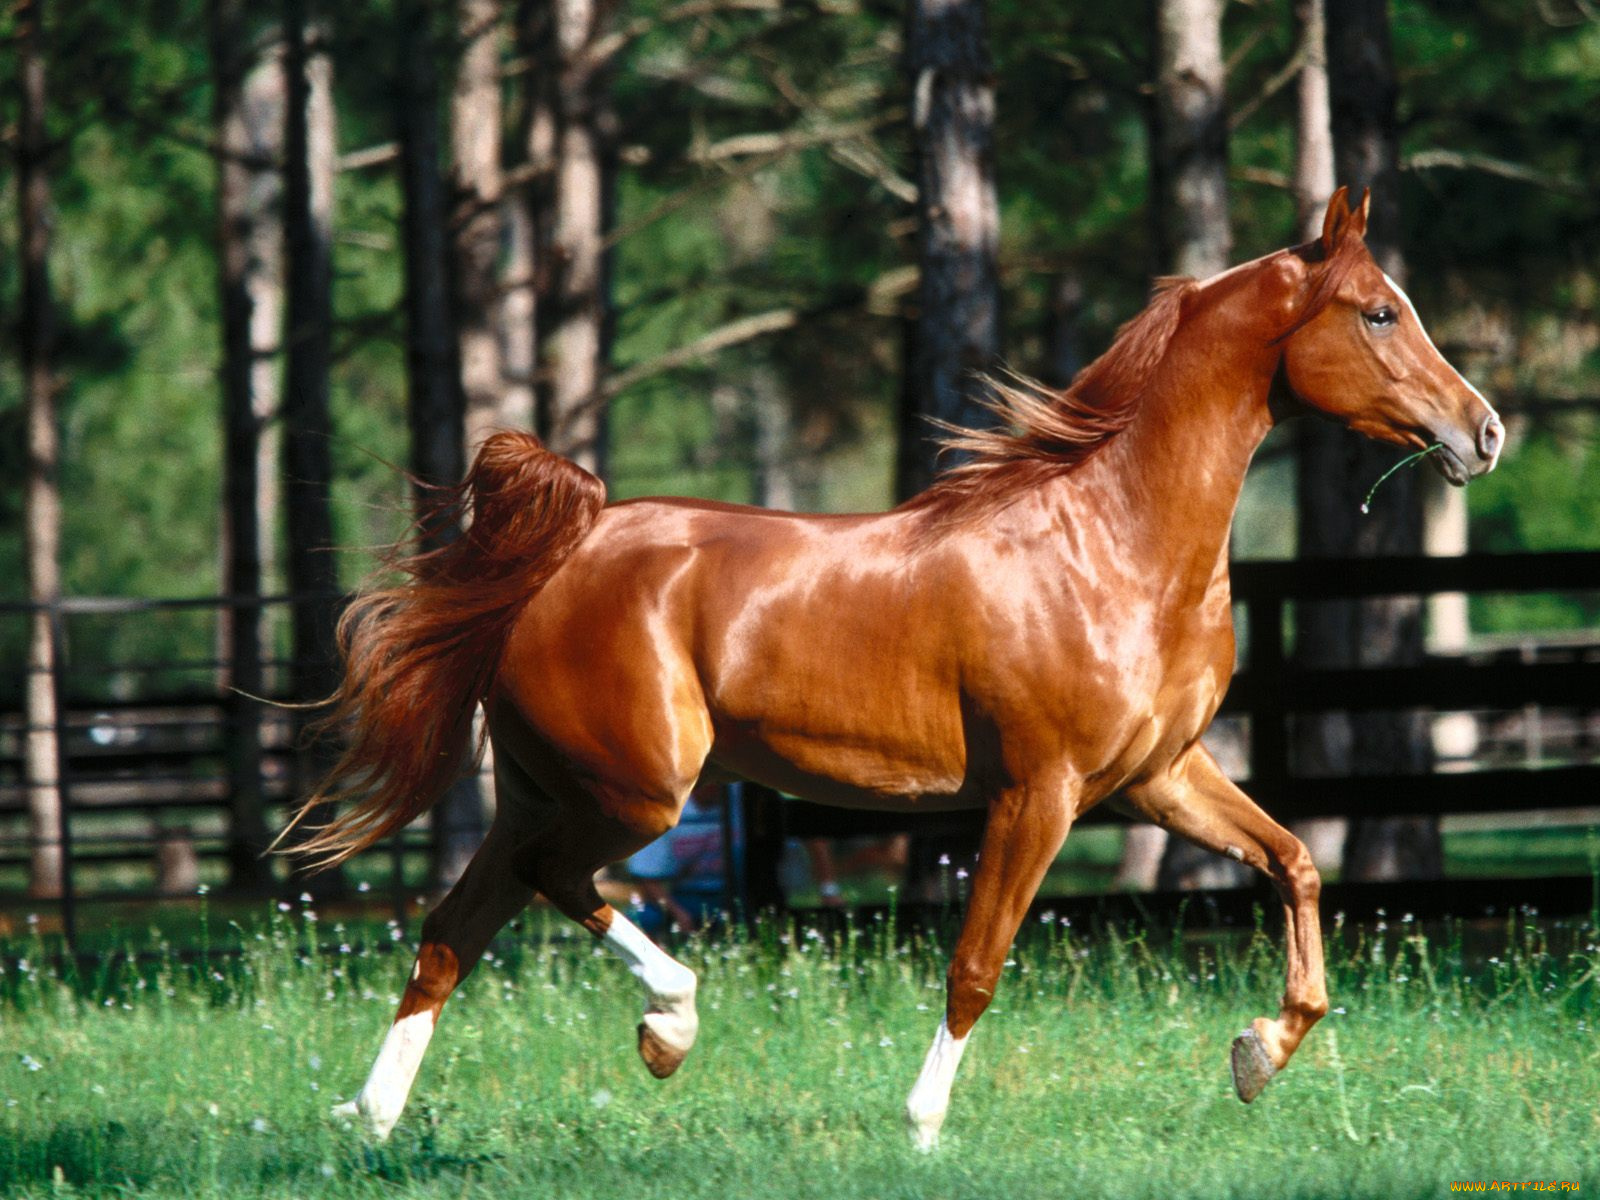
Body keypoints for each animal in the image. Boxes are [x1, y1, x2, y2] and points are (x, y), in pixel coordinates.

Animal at [292, 188, 1503, 1150]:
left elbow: (1294, 865)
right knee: (549, 885)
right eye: (1379, 310)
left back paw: (369, 1118)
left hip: (548, 787)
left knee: (452, 931)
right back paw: (668, 1024)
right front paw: (922, 1125)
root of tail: (568, 548)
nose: (1484, 431)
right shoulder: (1038, 793)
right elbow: (977, 962)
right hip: (636, 790)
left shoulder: (1159, 777)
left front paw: (1255, 1054)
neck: (1114, 542)